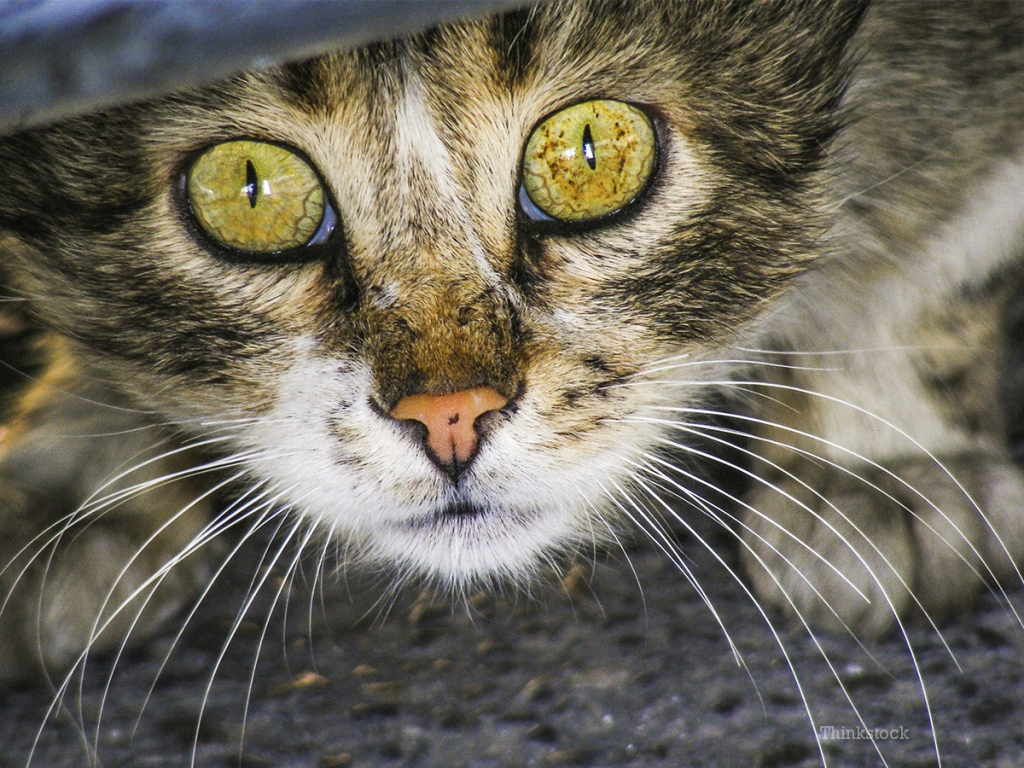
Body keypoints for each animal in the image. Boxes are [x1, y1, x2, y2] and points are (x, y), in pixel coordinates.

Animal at [0, 0, 1019, 753]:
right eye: (248, 190)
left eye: (591, 153)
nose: (450, 416)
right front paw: (77, 474)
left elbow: (933, 231)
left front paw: (879, 463)